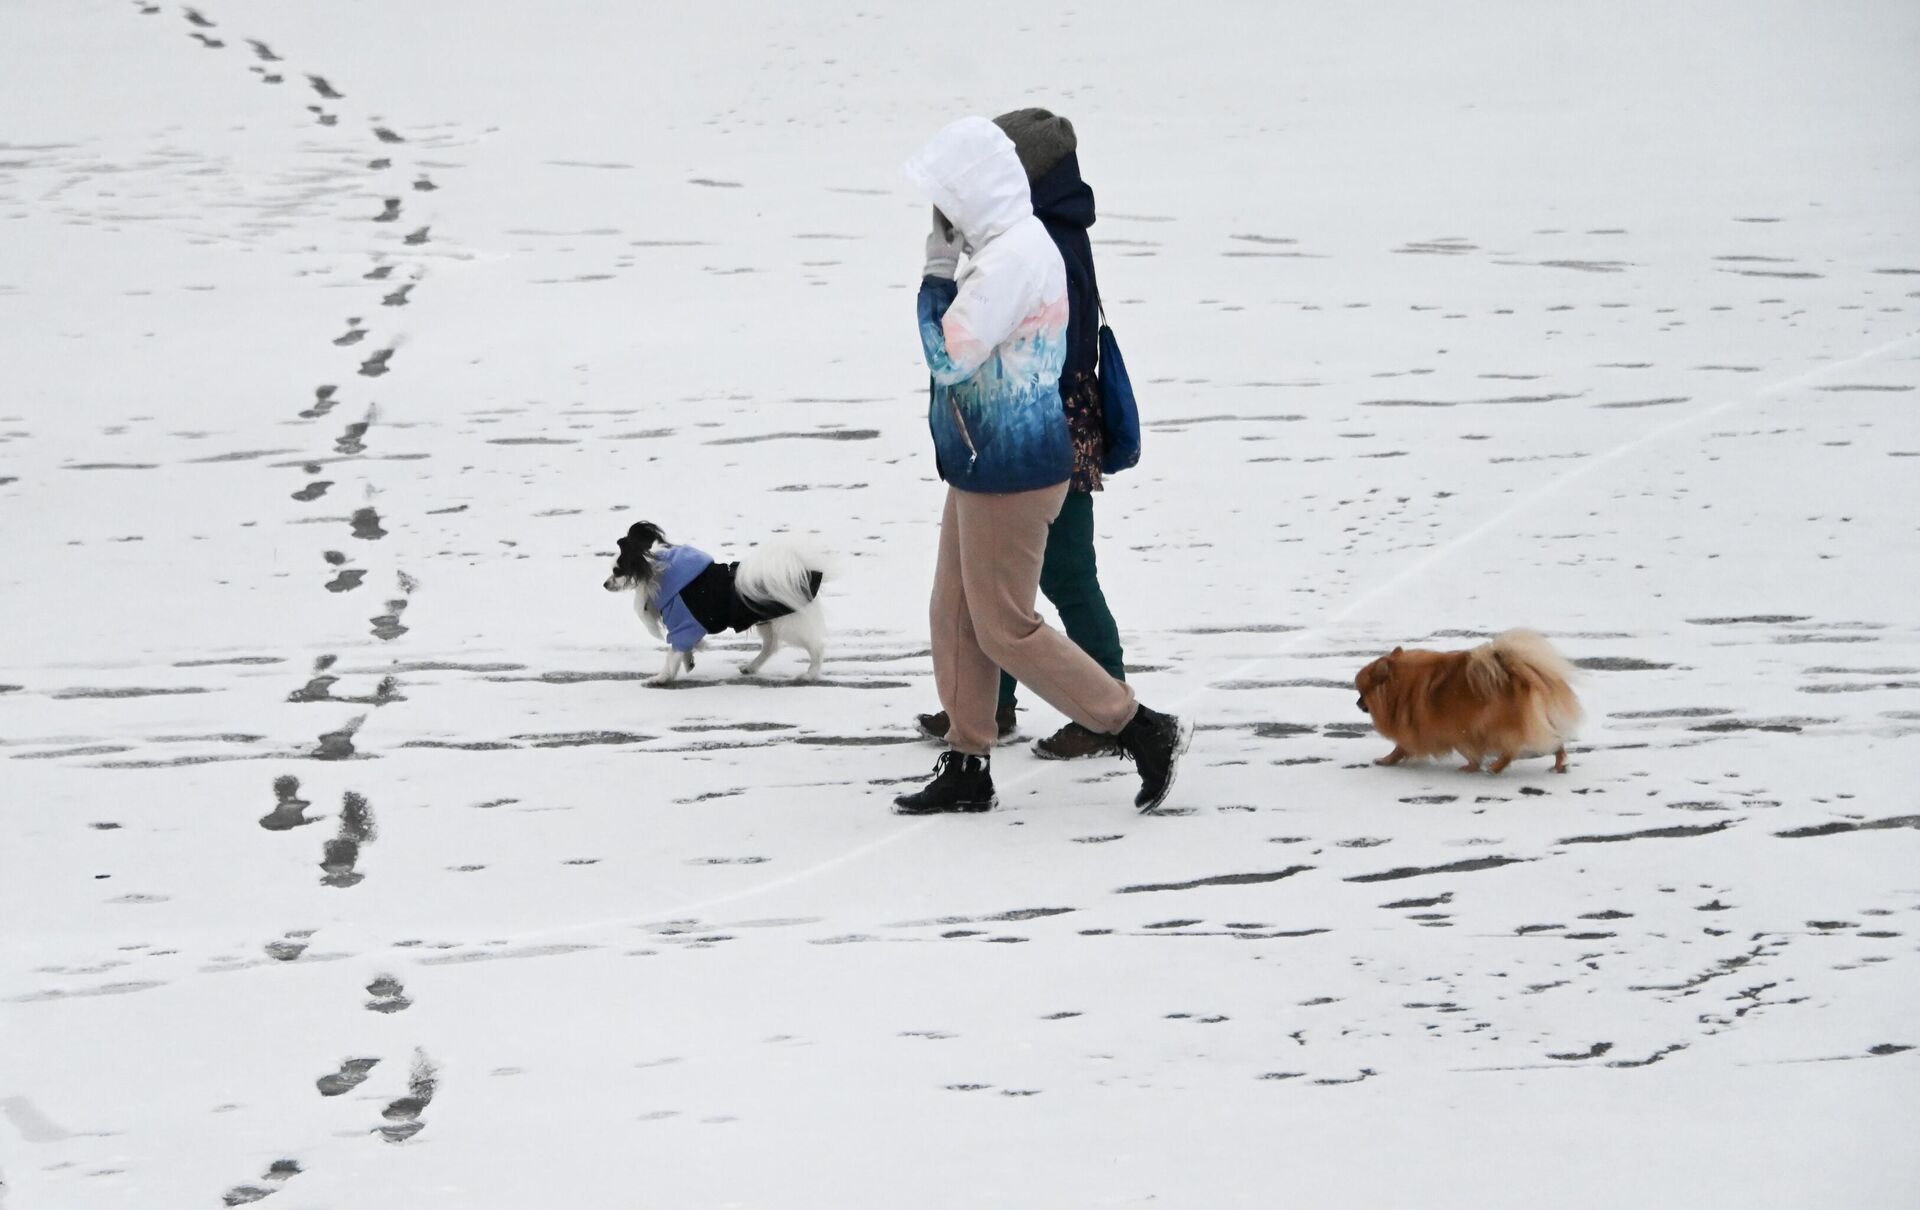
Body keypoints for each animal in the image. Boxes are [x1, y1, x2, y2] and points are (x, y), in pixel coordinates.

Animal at [602, 522, 829, 691]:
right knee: (770, 645)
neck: (659, 571)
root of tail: (804, 572)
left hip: (790, 624)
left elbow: (672, 652)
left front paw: (661, 677)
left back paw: (809, 675)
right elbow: (682, 649)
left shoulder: (683, 625)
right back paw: (751, 667)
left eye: (617, 571)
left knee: (816, 647)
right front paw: (688, 661)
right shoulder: (687, 628)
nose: (604, 584)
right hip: (767, 621)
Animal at [1359, 629, 1582, 772]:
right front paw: (1471, 767)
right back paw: (1559, 764)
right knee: (1556, 741)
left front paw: (1386, 760)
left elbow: (1400, 748)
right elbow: (1470, 753)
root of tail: (1514, 672)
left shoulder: (1450, 728)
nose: (1357, 703)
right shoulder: (1459, 730)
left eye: (1362, 693)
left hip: (1495, 726)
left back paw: (1496, 768)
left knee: (1512, 749)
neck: (1400, 688)